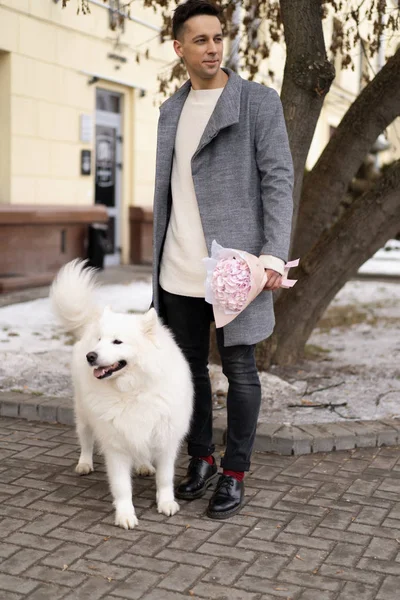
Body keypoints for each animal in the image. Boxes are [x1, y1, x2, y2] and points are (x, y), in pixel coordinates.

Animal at [50, 262, 194, 528]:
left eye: (117, 342)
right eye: (100, 340)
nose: (91, 356)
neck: (132, 390)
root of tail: (91, 322)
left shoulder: (165, 439)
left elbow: (165, 478)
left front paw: (166, 503)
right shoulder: (115, 445)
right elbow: (122, 487)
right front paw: (125, 515)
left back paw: (144, 466)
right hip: (84, 415)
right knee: (85, 440)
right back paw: (84, 463)